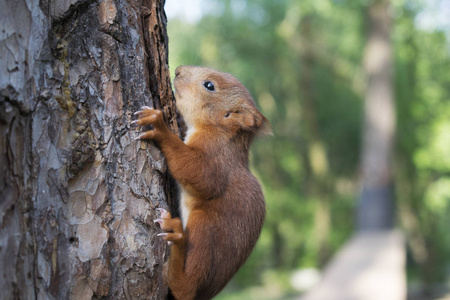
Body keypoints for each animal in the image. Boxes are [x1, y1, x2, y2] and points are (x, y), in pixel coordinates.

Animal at [132, 66, 268, 300]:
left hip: (205, 229)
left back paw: (176, 235)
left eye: (209, 85)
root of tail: (204, 295)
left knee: (185, 288)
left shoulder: (217, 161)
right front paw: (176, 119)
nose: (178, 70)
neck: (218, 131)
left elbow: (199, 175)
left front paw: (160, 128)